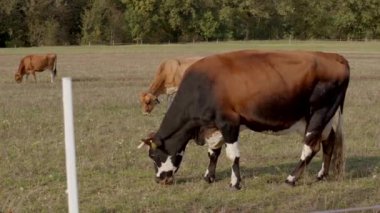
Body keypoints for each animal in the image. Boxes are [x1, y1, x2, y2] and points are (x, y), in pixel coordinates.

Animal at [140, 50, 350, 190]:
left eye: (153, 155)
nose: (159, 179)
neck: (202, 87)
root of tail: (334, 56)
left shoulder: (229, 123)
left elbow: (232, 155)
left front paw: (235, 183)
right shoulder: (214, 127)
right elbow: (213, 152)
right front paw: (209, 177)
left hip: (319, 113)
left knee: (310, 147)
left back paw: (291, 178)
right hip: (322, 118)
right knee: (328, 143)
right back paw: (322, 174)